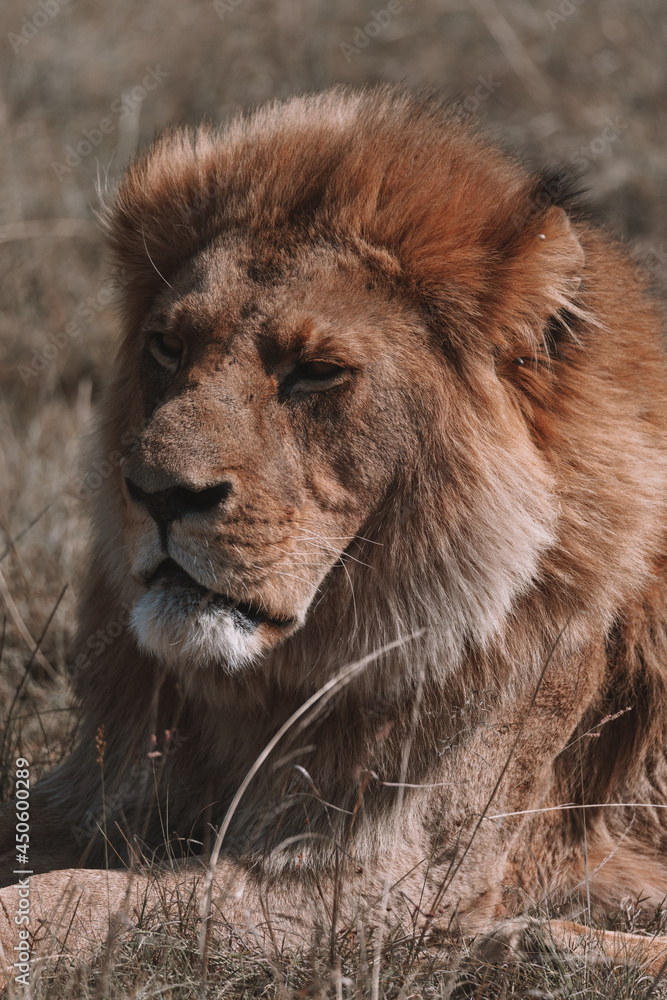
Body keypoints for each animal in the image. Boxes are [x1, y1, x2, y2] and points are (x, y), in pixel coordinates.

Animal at [2, 86, 667, 980]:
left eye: (315, 372)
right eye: (168, 346)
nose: (158, 494)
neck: (267, 692)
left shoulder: (377, 884)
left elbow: (82, 895)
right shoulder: (105, 793)